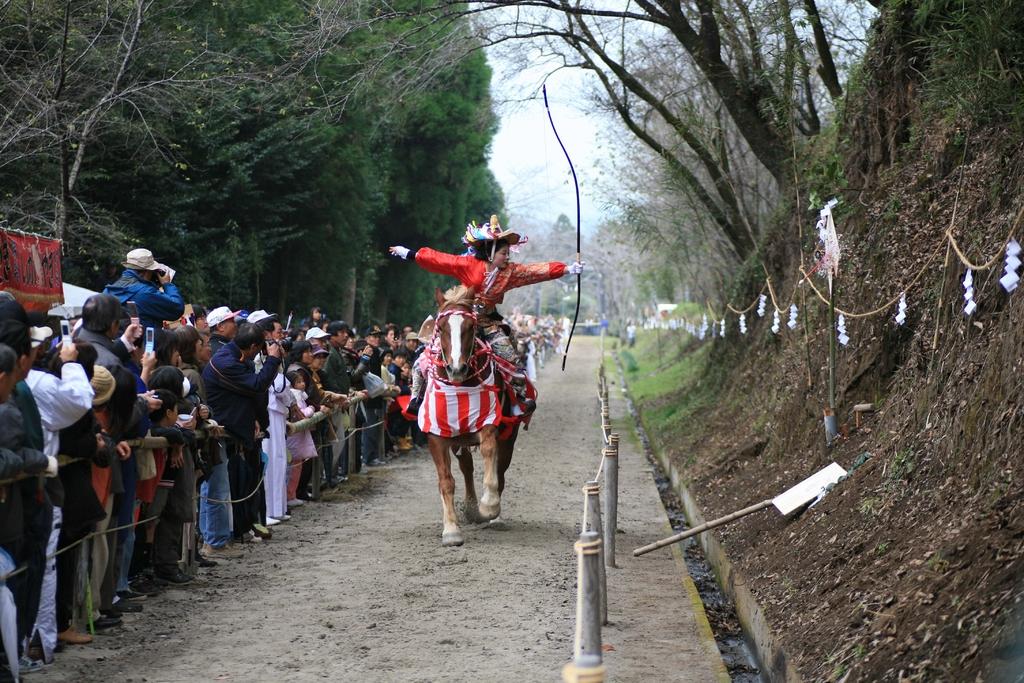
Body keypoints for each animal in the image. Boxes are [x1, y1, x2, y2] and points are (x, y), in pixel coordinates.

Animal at [423, 286, 520, 548]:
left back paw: (491, 515)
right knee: (466, 466)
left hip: (509, 434)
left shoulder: (488, 421)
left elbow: (489, 452)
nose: (456, 368)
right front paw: (451, 530)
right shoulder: (437, 432)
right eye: (441, 327)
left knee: (500, 469)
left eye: (471, 327)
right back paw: (470, 507)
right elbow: (446, 481)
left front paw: (489, 506)